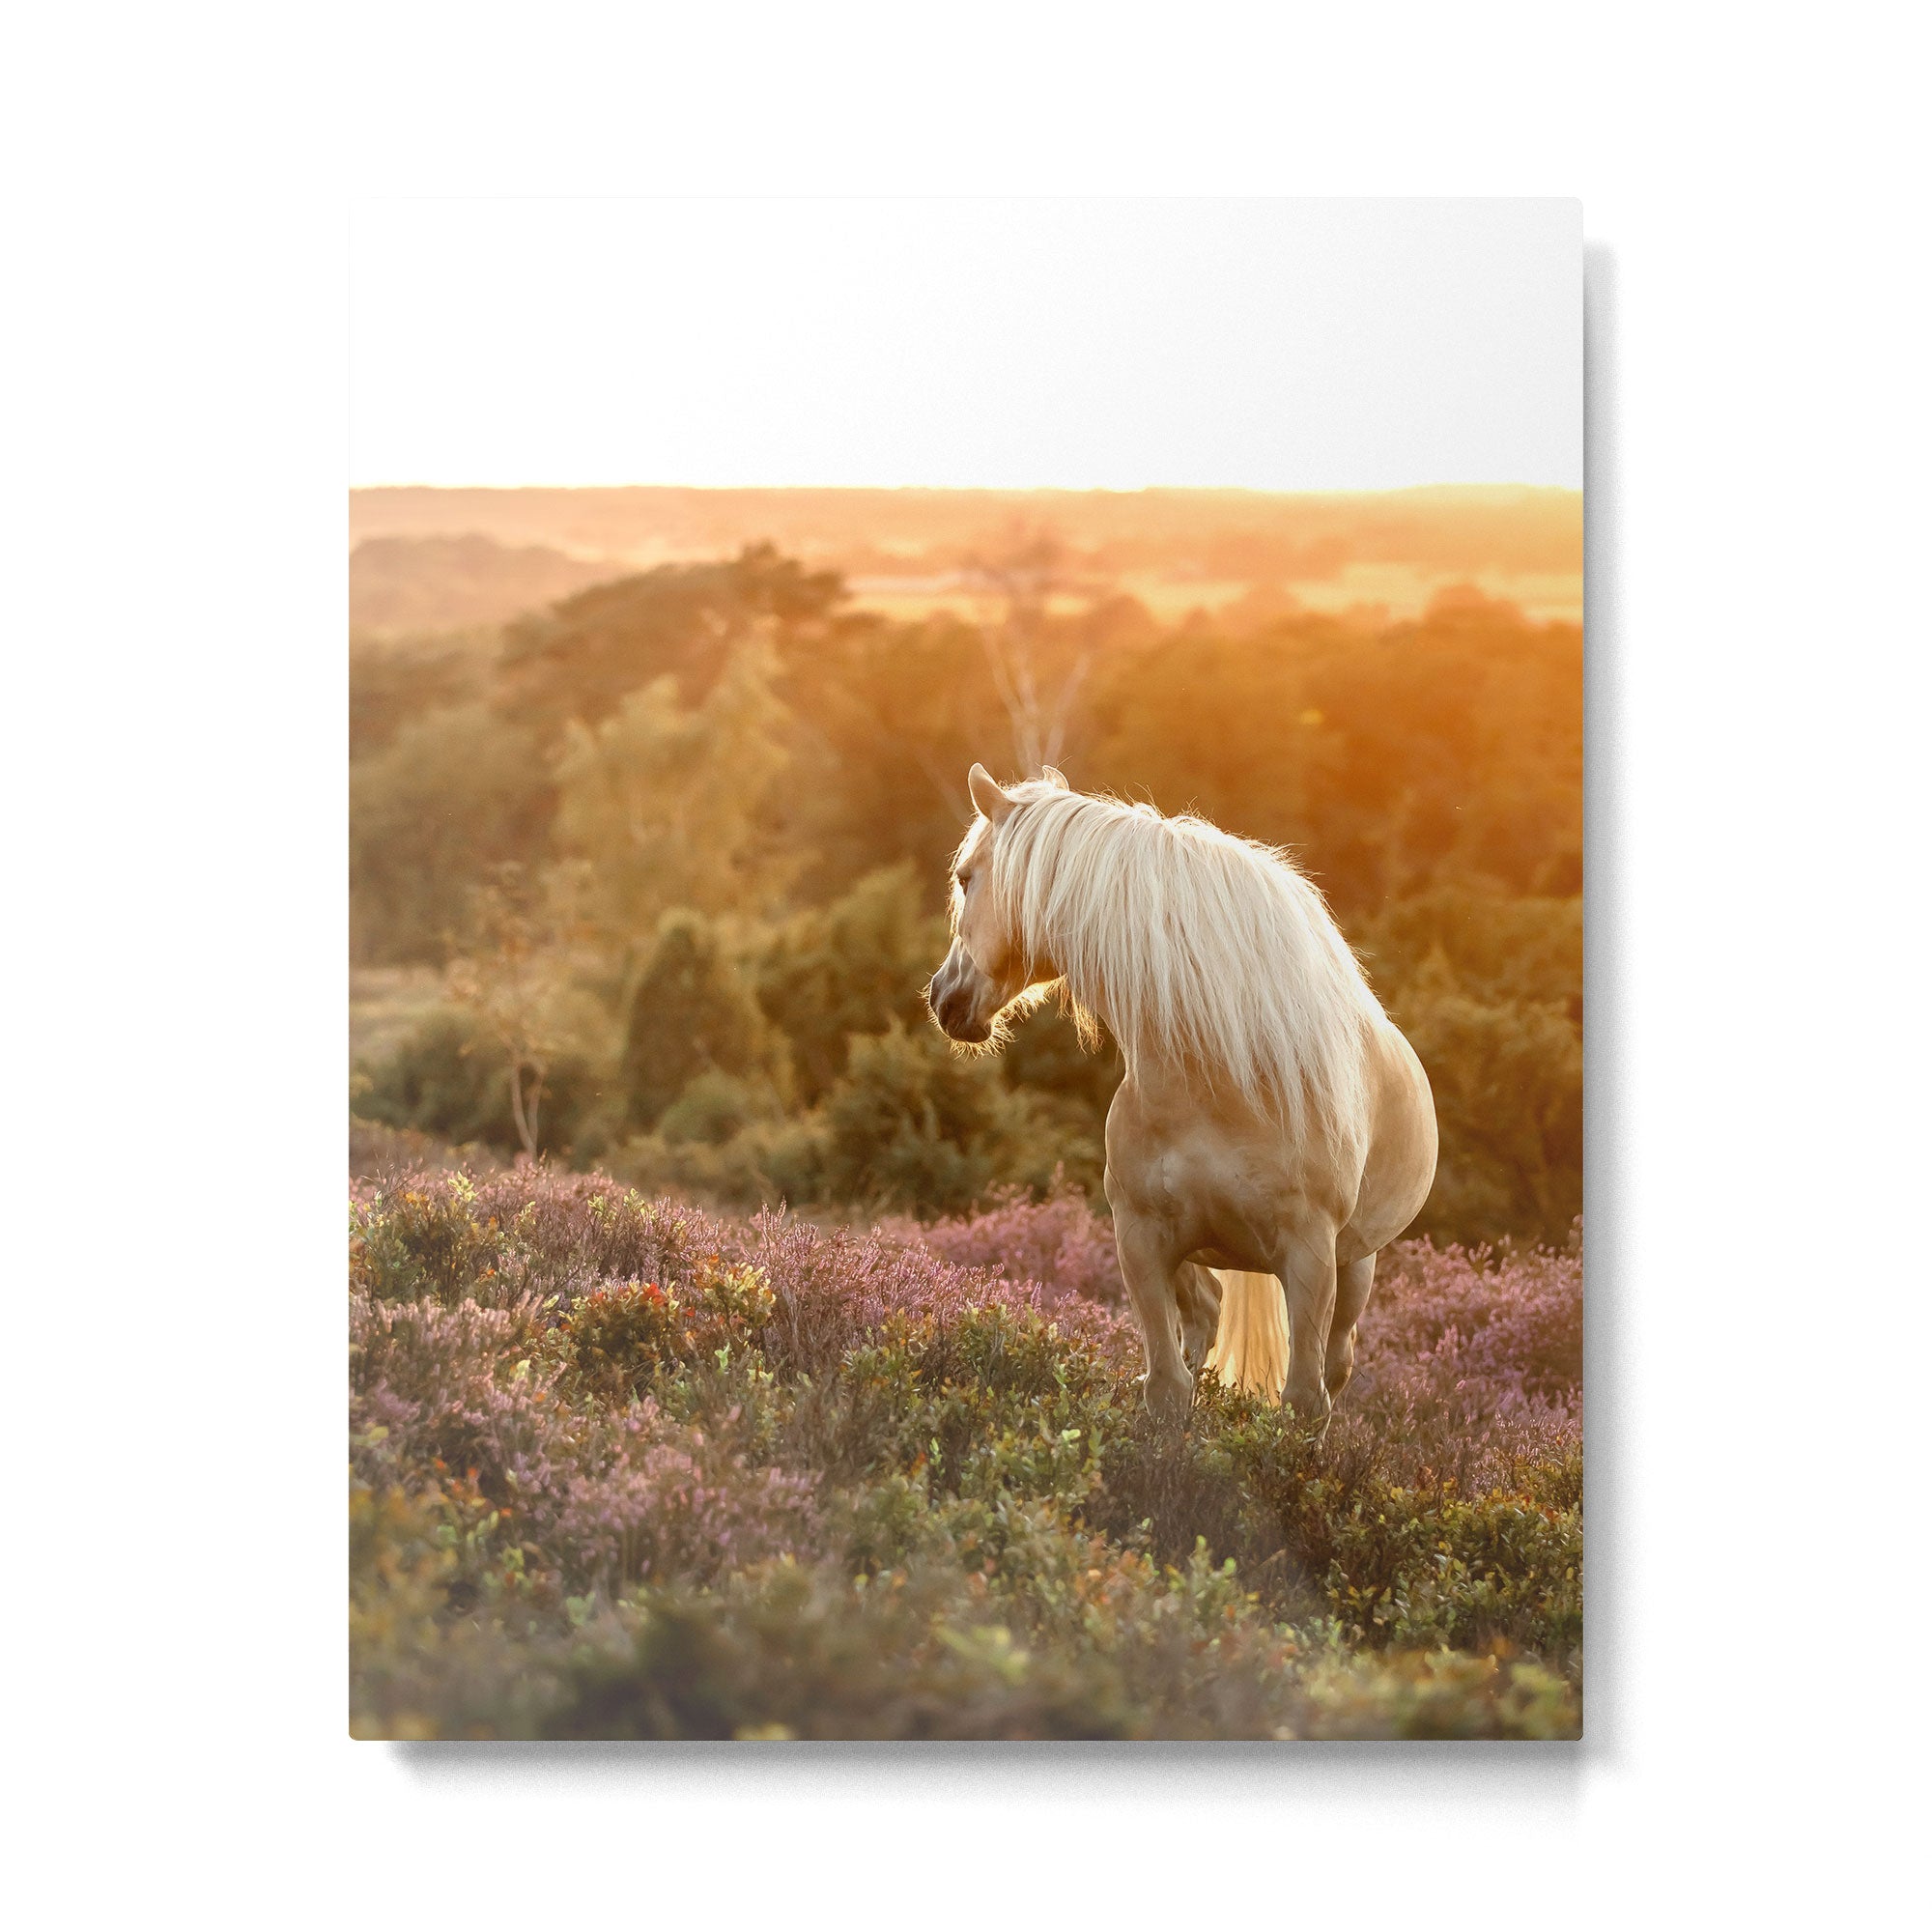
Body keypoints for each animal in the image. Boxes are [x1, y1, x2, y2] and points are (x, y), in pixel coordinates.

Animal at [925, 763, 1438, 1430]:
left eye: (967, 878)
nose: (943, 998)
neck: (1217, 1080)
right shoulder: (1142, 1241)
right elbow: (1168, 1387)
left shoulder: (1310, 1255)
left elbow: (1304, 1399)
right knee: (1207, 1316)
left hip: (1354, 1265)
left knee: (1337, 1360)